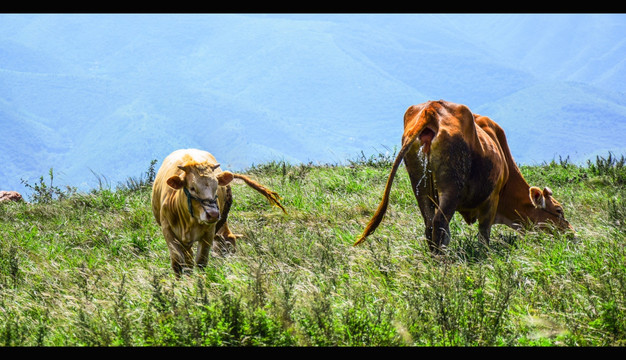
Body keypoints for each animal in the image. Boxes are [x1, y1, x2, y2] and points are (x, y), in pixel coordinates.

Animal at [154, 148, 286, 274]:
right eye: (192, 188)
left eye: (216, 187)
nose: (212, 214)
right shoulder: (168, 230)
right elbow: (178, 263)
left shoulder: (209, 232)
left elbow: (200, 262)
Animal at [354, 100, 572, 253]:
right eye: (558, 210)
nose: (572, 233)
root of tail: (431, 110)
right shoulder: (492, 199)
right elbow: (484, 234)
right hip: (451, 187)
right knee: (440, 224)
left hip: (420, 185)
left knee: (430, 225)